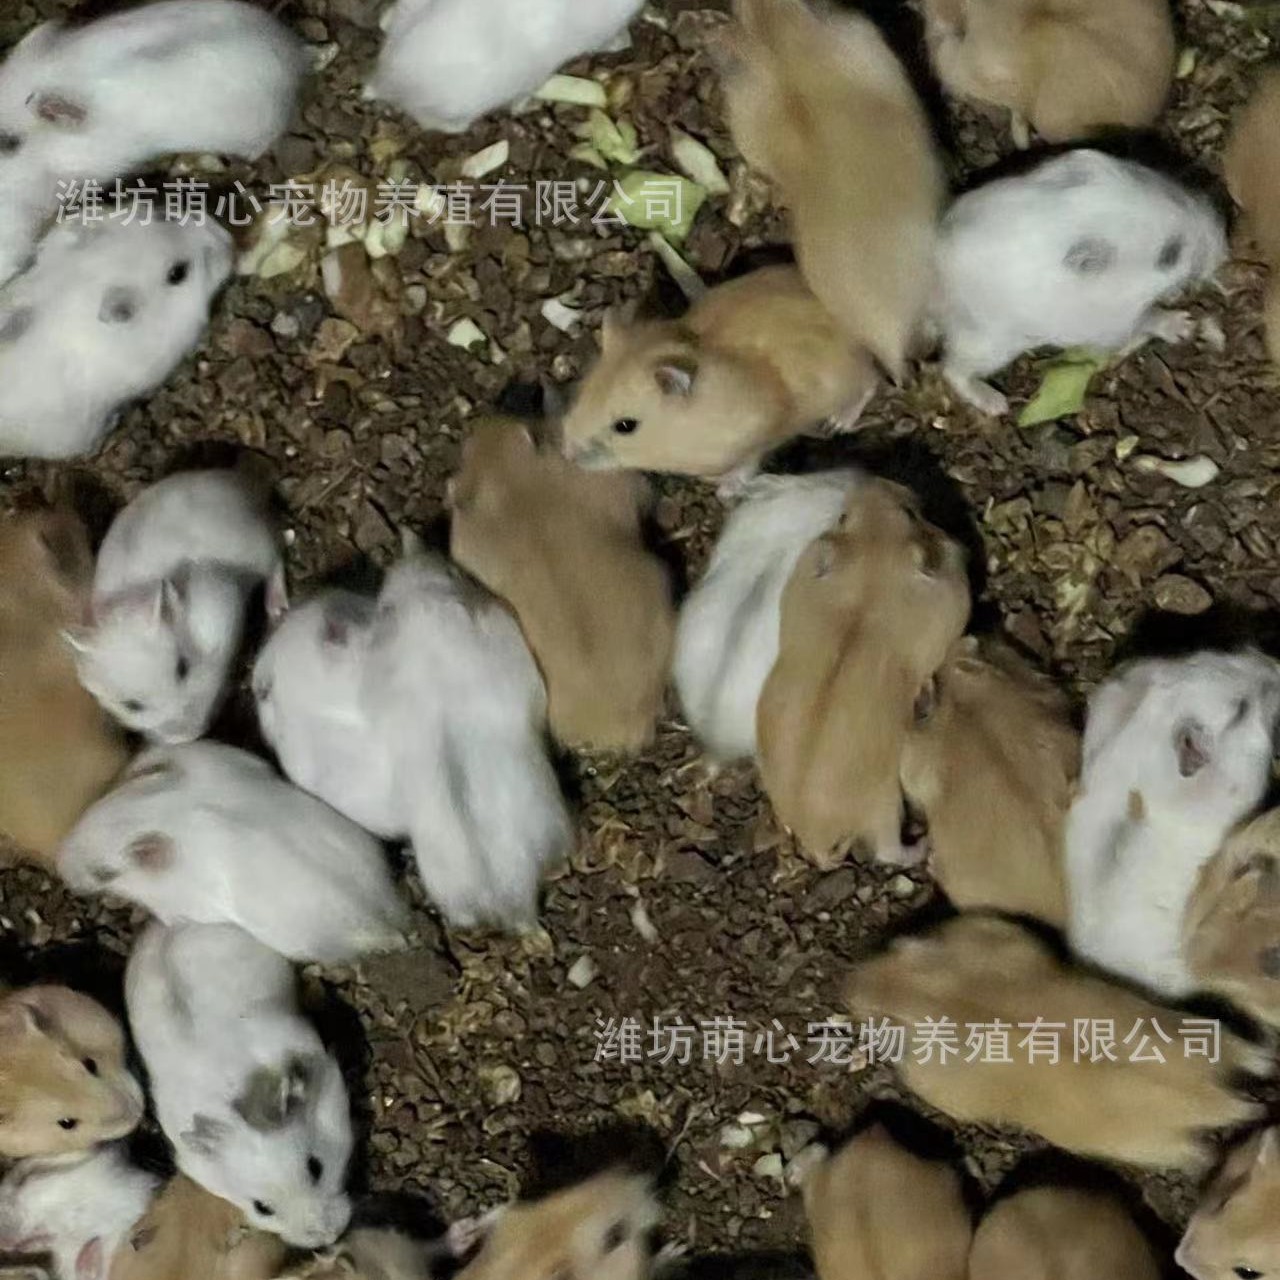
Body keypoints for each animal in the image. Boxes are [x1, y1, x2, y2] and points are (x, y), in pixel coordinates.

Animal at [66, 468, 285, 744]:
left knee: (276, 558)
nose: (190, 735)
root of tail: (237, 480)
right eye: (132, 706)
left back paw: (278, 609)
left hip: (259, 544)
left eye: (182, 668)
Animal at [561, 267, 879, 480]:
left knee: (870, 383)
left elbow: (749, 462)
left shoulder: (760, 435)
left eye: (626, 426)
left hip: (847, 377)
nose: (567, 455)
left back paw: (838, 423)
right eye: (581, 394)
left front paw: (722, 486)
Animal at [757, 478, 971, 868]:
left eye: (843, 517)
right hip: (885, 805)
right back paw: (922, 844)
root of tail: (815, 835)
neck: (871, 577)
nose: (876, 483)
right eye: (911, 514)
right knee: (889, 851)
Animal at [844, 915, 1268, 1171]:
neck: (930, 995)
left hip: (1144, 1144)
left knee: (1200, 1151)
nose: (847, 984)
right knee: (1248, 1055)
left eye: (877, 1020)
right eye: (891, 946)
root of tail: (1211, 1095)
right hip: (1202, 1030)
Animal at [936, 148, 1227, 414]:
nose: (1222, 247)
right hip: (991, 343)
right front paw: (1186, 325)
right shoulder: (1116, 321)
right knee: (952, 370)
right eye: (1169, 255)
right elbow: (1152, 319)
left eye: (1176, 193)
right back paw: (997, 404)